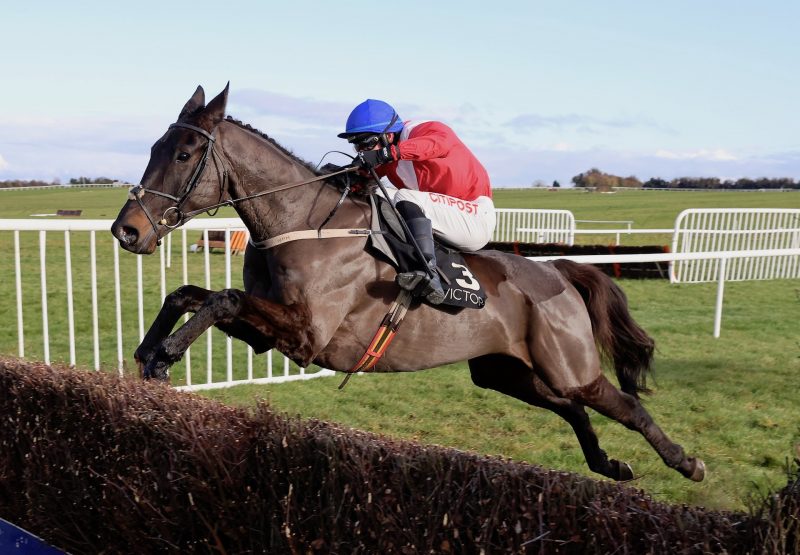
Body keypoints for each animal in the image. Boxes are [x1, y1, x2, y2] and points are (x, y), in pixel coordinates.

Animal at [109, 84, 704, 484]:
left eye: (183, 154)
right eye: (156, 148)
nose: (127, 230)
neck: (305, 221)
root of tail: (555, 269)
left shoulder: (305, 336)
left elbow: (223, 299)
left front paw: (166, 354)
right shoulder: (267, 330)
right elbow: (193, 296)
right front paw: (150, 352)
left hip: (570, 365)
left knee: (624, 407)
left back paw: (686, 462)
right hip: (507, 372)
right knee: (572, 408)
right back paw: (609, 464)